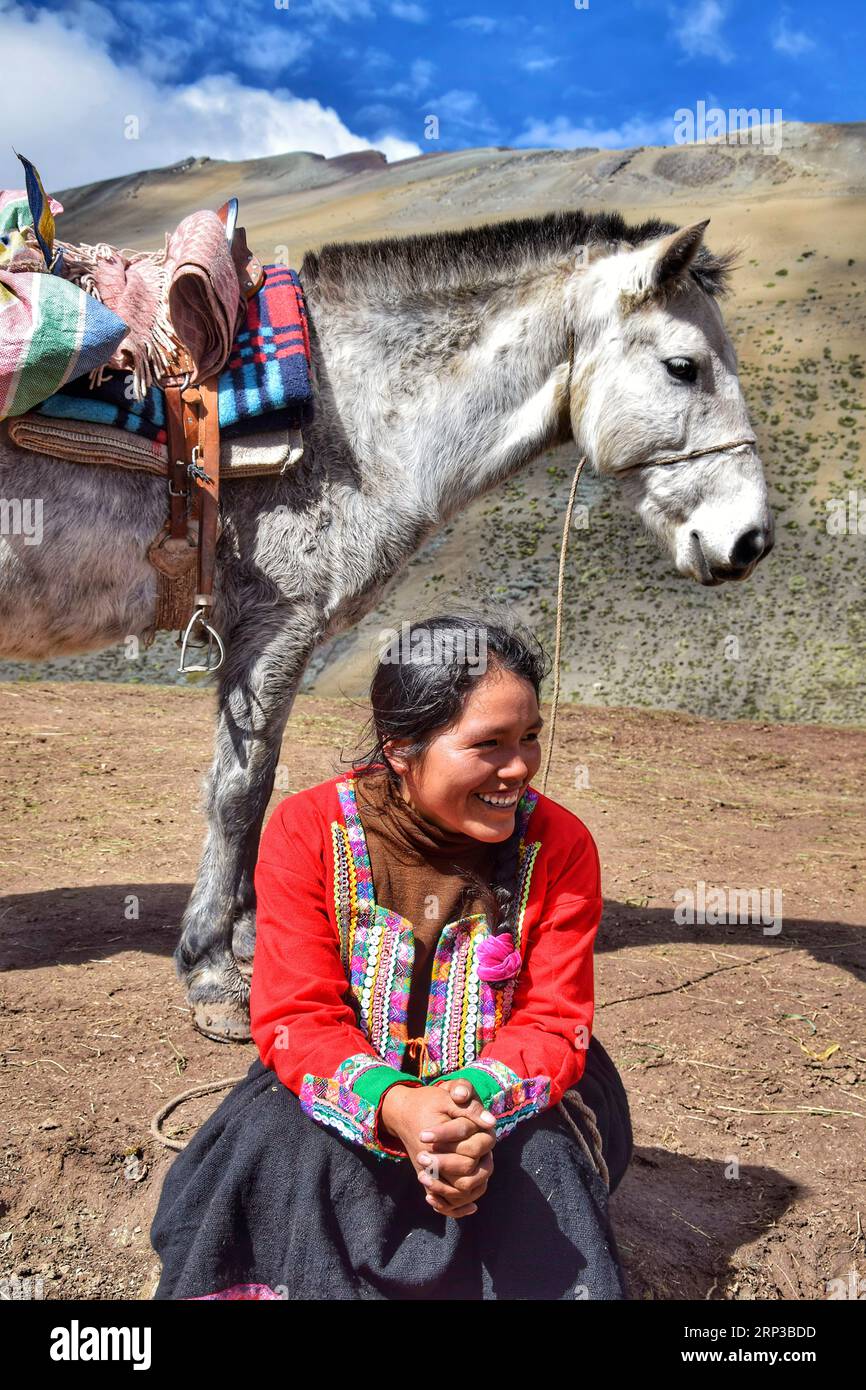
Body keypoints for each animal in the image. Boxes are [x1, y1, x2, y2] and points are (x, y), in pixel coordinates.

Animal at [0, 211, 772, 1039]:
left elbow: (257, 787)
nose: (750, 541)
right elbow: (239, 789)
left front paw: (248, 939)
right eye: (684, 367)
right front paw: (211, 971)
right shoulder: (275, 625)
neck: (350, 417)